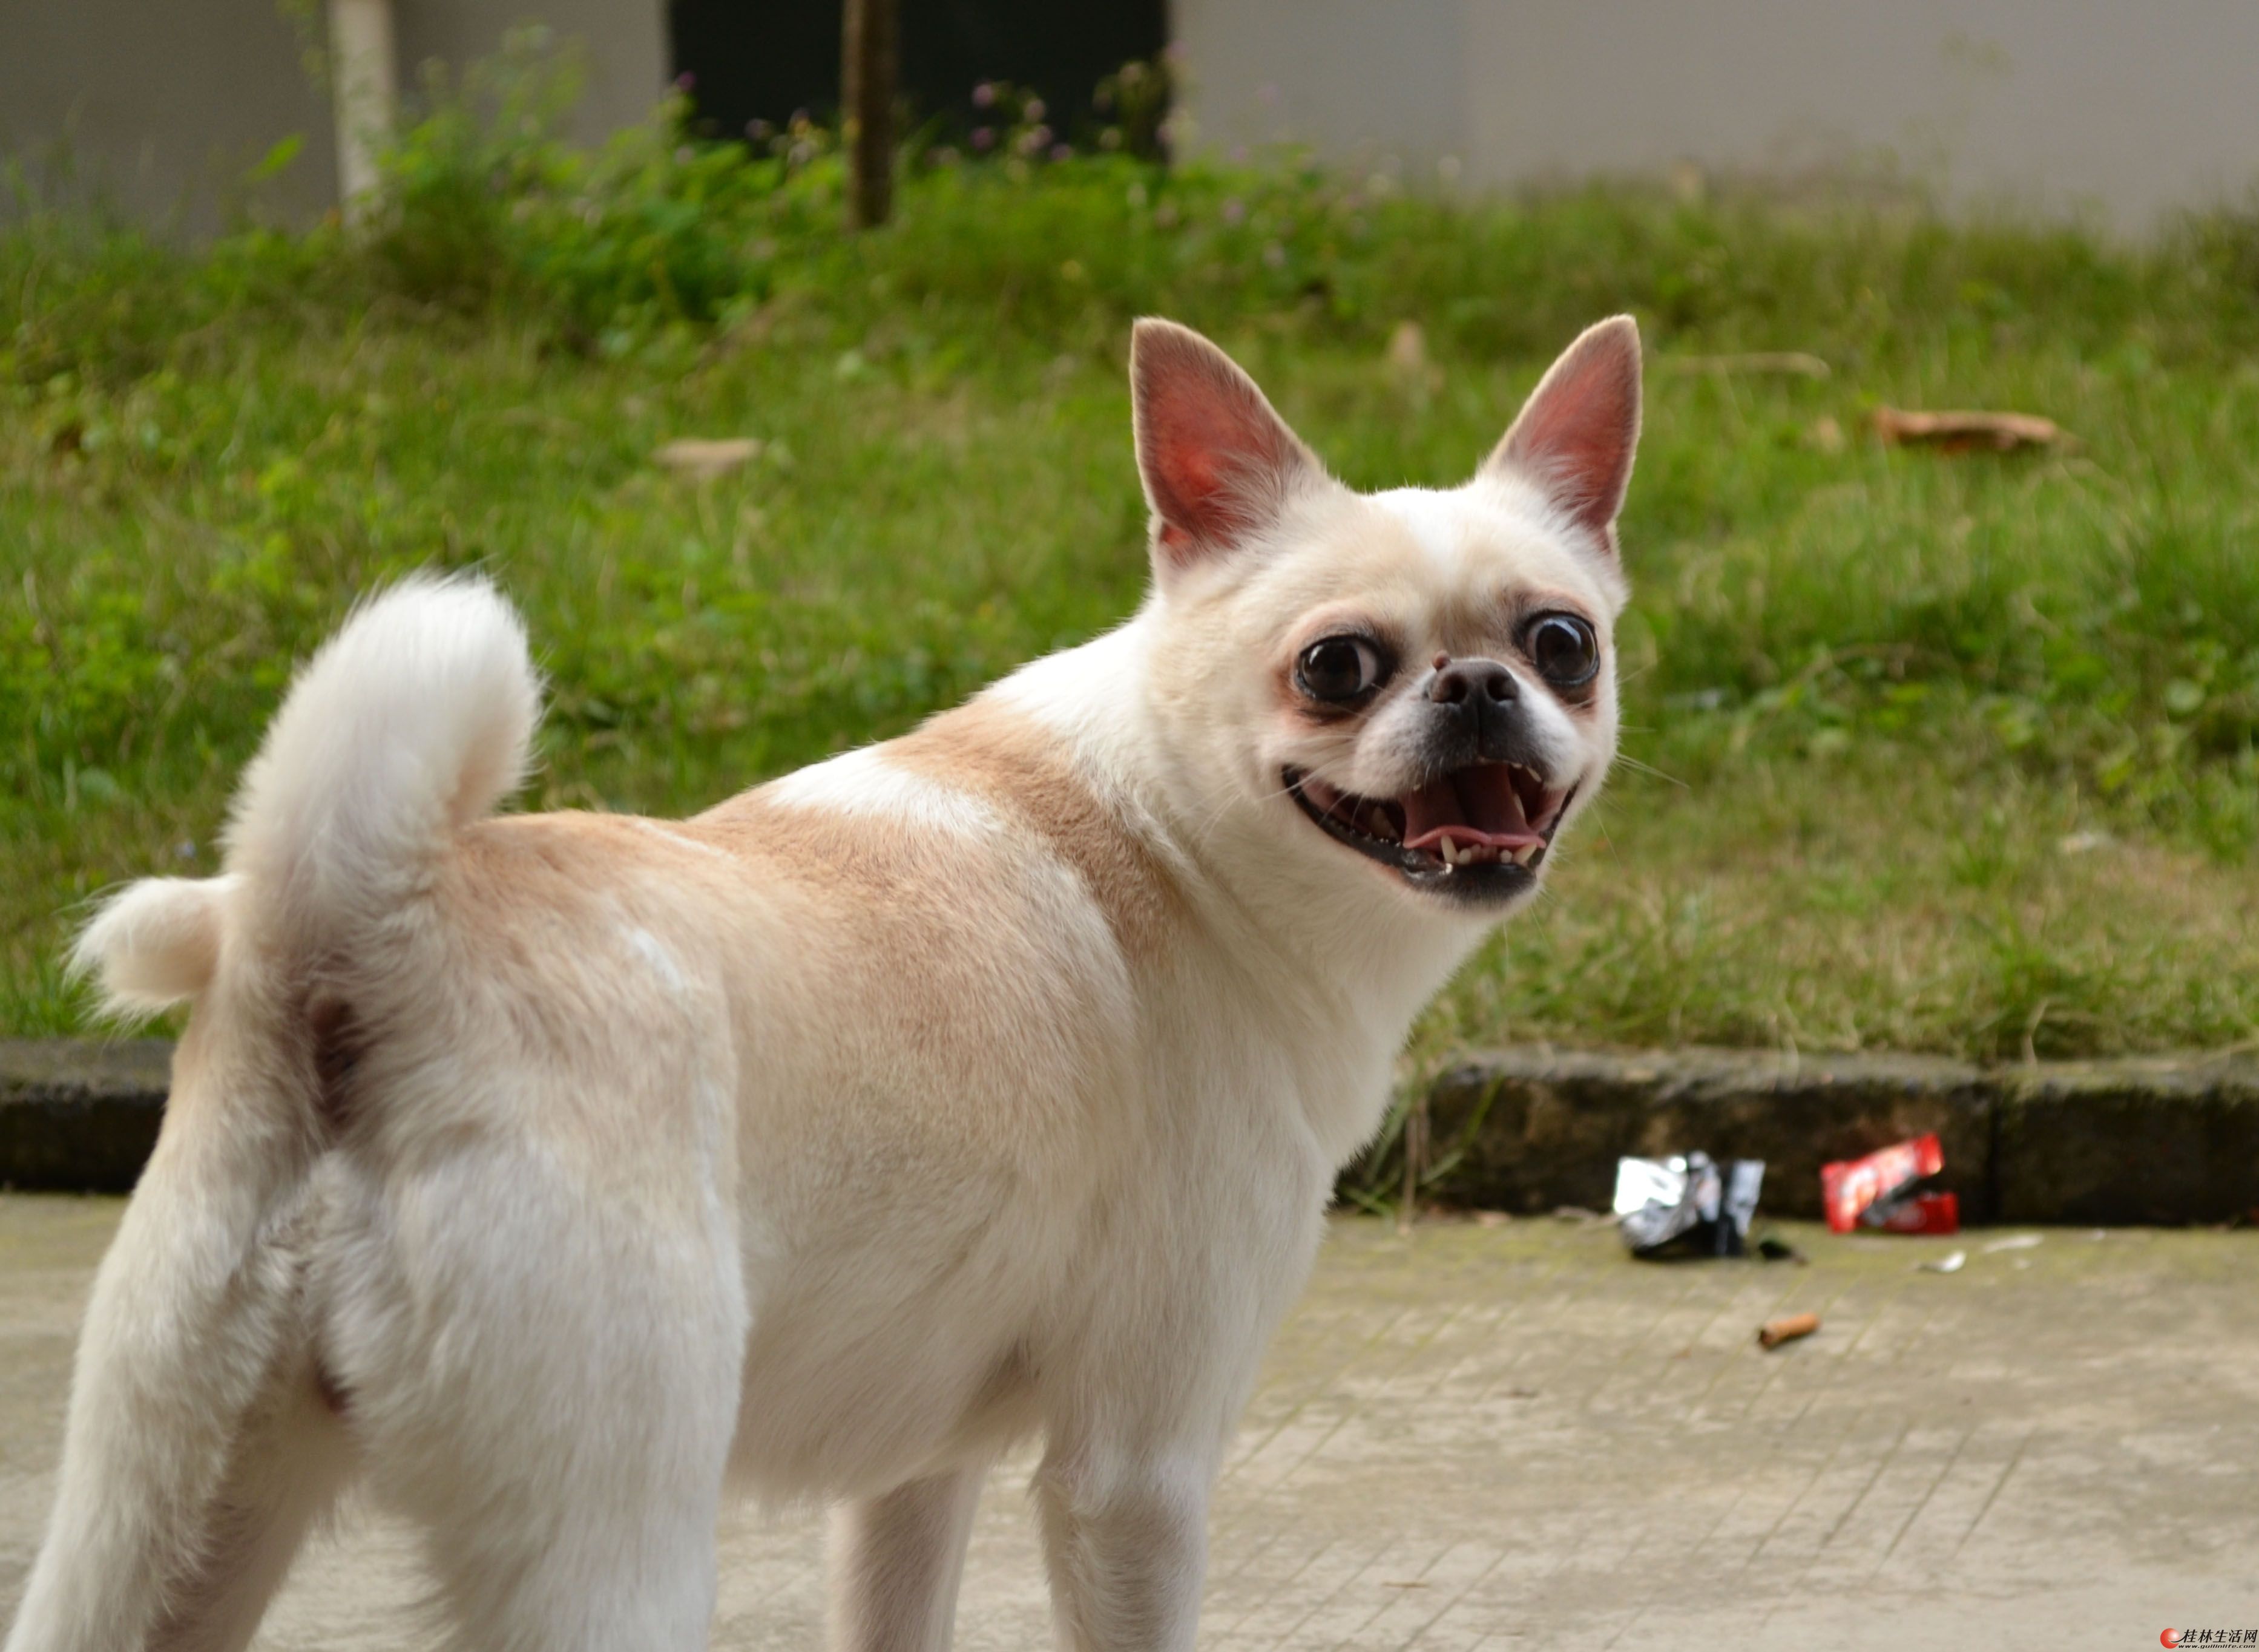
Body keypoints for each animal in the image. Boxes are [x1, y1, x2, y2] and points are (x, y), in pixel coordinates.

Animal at [4, 313, 1644, 1652]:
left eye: (1564, 645)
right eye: (1337, 668)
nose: (1479, 685)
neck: (1174, 834)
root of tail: (363, 921)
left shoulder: (914, 1479)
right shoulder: (1134, 1478)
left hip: (162, 1519)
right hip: (608, 1531)